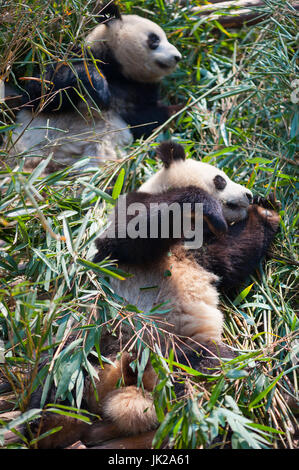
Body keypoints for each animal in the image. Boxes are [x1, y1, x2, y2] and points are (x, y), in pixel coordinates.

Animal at [8, 2, 182, 172]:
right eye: (154, 39)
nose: (177, 57)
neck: (120, 73)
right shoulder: (81, 56)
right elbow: (41, 94)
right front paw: (98, 87)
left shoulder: (141, 94)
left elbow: (150, 121)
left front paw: (179, 110)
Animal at [25, 142, 282, 448]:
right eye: (220, 179)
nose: (248, 194)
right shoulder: (130, 210)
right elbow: (129, 231)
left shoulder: (206, 252)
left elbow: (232, 256)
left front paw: (267, 208)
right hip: (91, 337)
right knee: (55, 376)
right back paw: (50, 422)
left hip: (180, 349)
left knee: (211, 364)